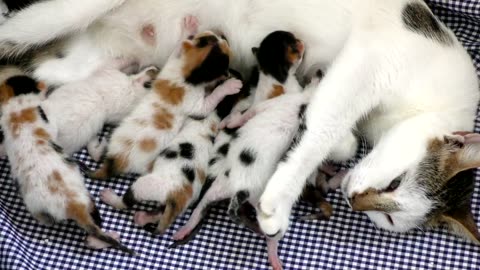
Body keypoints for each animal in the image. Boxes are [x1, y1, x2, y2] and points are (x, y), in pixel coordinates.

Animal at [0, 75, 133, 253]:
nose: (45, 85)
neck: (18, 110)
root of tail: (72, 206)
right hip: (83, 199)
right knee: (95, 227)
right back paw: (110, 237)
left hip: (50, 207)